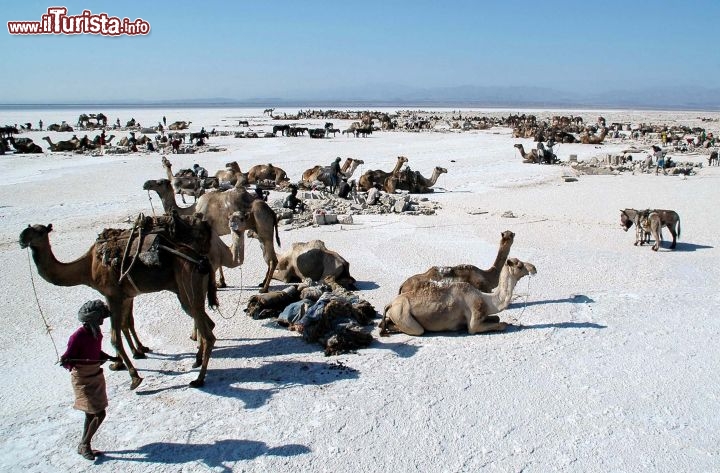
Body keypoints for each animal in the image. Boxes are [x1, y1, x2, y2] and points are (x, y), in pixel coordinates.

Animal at [19, 217, 219, 388]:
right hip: (189, 293)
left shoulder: (112, 295)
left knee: (207, 332)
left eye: (39, 232)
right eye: (27, 228)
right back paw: (196, 361)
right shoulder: (127, 295)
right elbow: (126, 323)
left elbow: (115, 336)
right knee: (207, 323)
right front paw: (131, 355)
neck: (88, 267)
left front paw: (134, 376)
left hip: (188, 289)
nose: (21, 238)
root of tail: (202, 260)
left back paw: (198, 379)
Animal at [141, 177, 278, 288]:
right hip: (259, 232)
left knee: (272, 258)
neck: (193, 209)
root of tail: (271, 211)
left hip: (264, 229)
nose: (146, 183)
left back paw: (264, 287)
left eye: (159, 182)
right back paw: (262, 283)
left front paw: (219, 283)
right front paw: (222, 282)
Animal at [380, 258, 536, 336]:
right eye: (520, 265)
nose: (534, 268)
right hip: (402, 314)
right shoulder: (474, 322)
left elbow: (497, 318)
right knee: (418, 330)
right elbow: (500, 324)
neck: (488, 300)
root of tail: (390, 304)